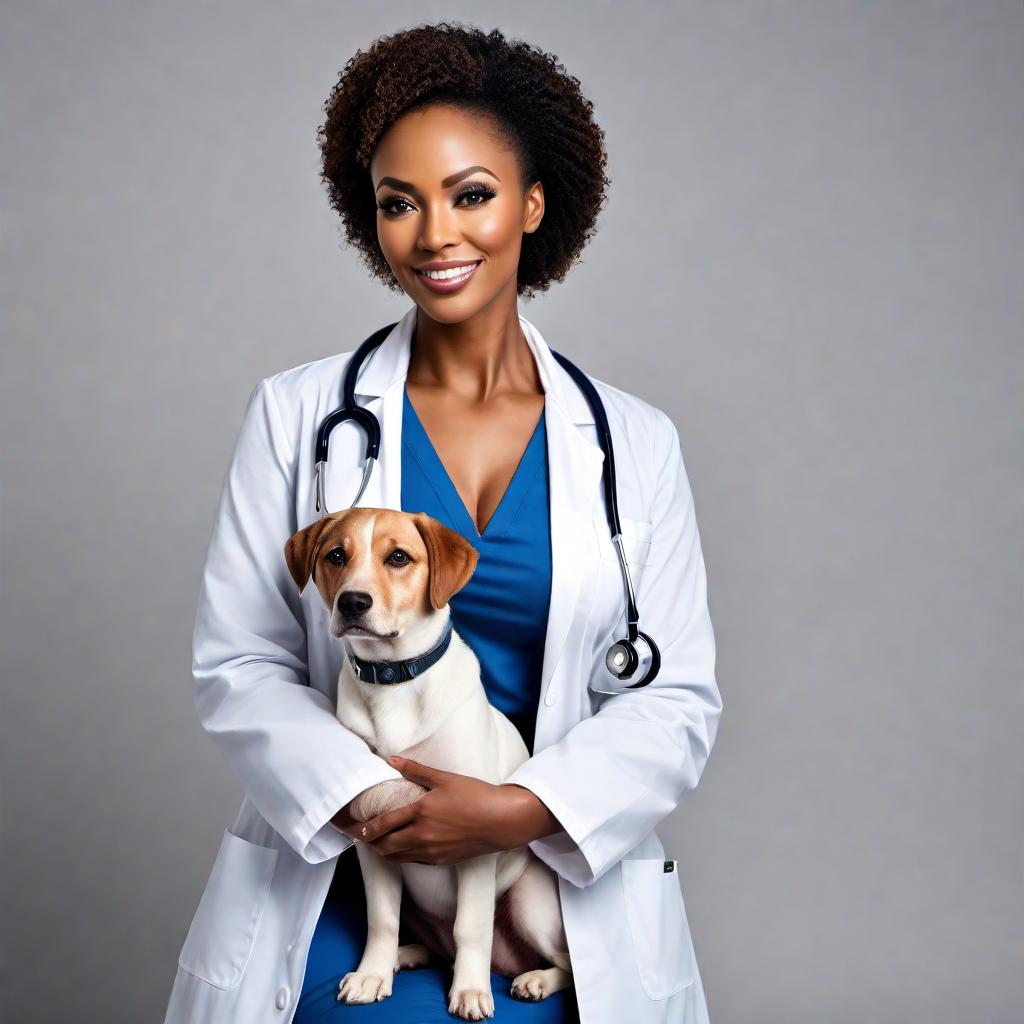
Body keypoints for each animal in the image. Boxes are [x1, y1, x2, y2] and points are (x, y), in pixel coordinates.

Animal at [286, 507, 577, 1019]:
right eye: (336, 556)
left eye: (399, 557)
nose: (353, 602)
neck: (393, 681)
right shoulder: (372, 838)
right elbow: (382, 918)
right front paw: (373, 973)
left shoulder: (474, 839)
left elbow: (471, 927)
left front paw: (471, 990)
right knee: (434, 942)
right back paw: (406, 956)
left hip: (530, 904)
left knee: (559, 961)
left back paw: (535, 979)